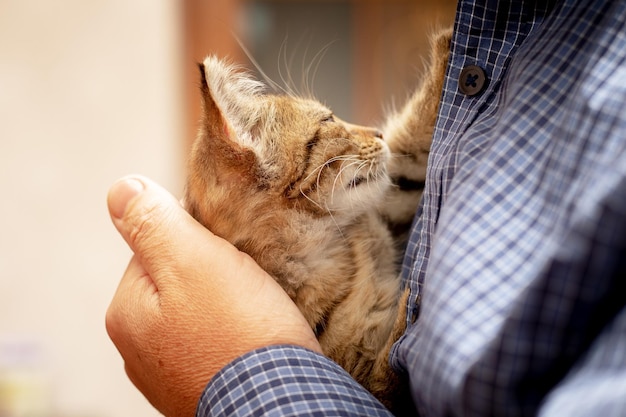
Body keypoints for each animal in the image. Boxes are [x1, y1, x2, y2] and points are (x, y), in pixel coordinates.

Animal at [183, 27, 450, 412]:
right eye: (328, 121)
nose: (378, 133)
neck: (326, 247)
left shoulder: (385, 211)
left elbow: (412, 151)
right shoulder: (371, 381)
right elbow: (393, 365)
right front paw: (412, 313)